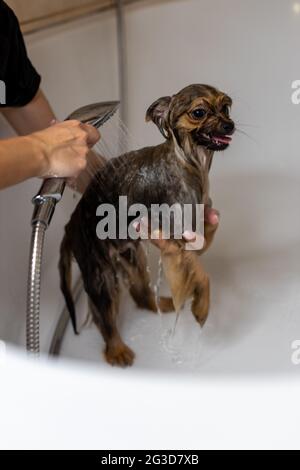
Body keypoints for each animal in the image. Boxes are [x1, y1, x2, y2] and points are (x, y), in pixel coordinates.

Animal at [59, 84, 236, 366]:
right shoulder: (174, 236)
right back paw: (117, 350)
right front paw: (201, 305)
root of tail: (70, 226)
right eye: (199, 112)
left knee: (141, 295)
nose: (229, 125)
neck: (190, 163)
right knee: (104, 319)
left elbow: (203, 239)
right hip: (99, 274)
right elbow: (199, 273)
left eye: (226, 107)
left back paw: (160, 304)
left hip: (132, 256)